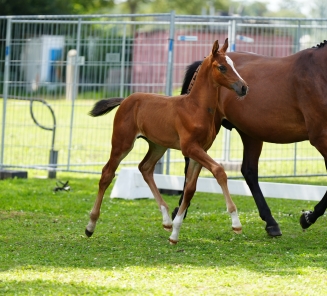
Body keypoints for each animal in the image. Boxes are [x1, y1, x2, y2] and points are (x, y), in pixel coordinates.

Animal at [85, 38, 249, 244]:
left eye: (233, 64)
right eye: (222, 67)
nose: (243, 87)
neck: (196, 108)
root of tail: (125, 99)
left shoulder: (199, 151)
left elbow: (190, 189)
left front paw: (175, 232)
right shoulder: (190, 148)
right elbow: (219, 171)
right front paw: (236, 223)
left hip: (157, 146)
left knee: (145, 168)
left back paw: (166, 221)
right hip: (122, 143)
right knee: (107, 173)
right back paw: (90, 226)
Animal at [176, 40, 327, 237]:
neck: (320, 72)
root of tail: (203, 62)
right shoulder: (321, 137)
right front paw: (308, 217)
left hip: (251, 134)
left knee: (248, 171)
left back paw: (271, 223)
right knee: (191, 163)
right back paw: (180, 211)